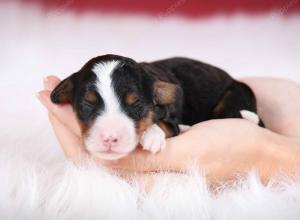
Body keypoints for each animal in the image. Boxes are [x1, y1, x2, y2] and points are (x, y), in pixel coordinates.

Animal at [50, 53, 264, 160]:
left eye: (136, 104)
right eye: (87, 104)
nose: (110, 138)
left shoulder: (171, 121)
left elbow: (161, 123)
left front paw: (152, 135)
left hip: (237, 93)